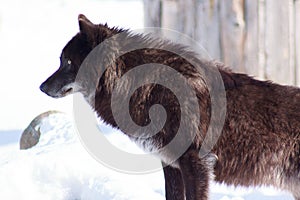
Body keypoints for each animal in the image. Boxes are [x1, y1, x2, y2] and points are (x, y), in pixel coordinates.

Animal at [40, 14, 300, 200]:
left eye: (68, 62)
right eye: (61, 61)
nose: (41, 87)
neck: (147, 88)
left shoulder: (197, 163)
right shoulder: (170, 165)